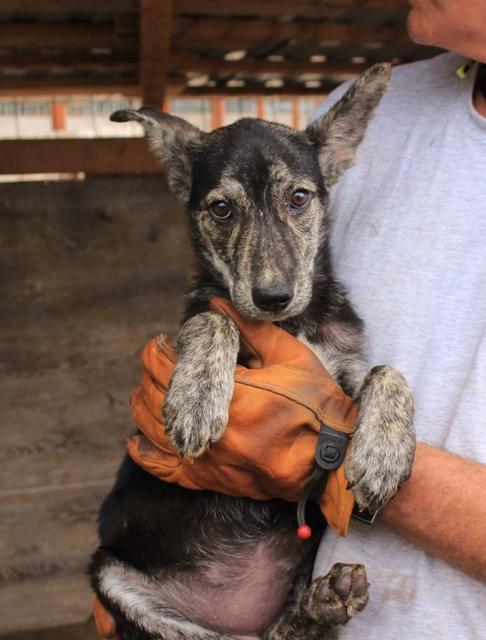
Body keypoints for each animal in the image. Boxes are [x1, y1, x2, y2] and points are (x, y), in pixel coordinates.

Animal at [90, 66, 414, 640]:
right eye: (221, 208)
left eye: (299, 198)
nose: (272, 296)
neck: (290, 324)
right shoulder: (204, 319)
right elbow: (215, 317)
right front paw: (197, 398)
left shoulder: (339, 377)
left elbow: (385, 370)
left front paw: (384, 452)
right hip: (114, 576)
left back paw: (322, 604)